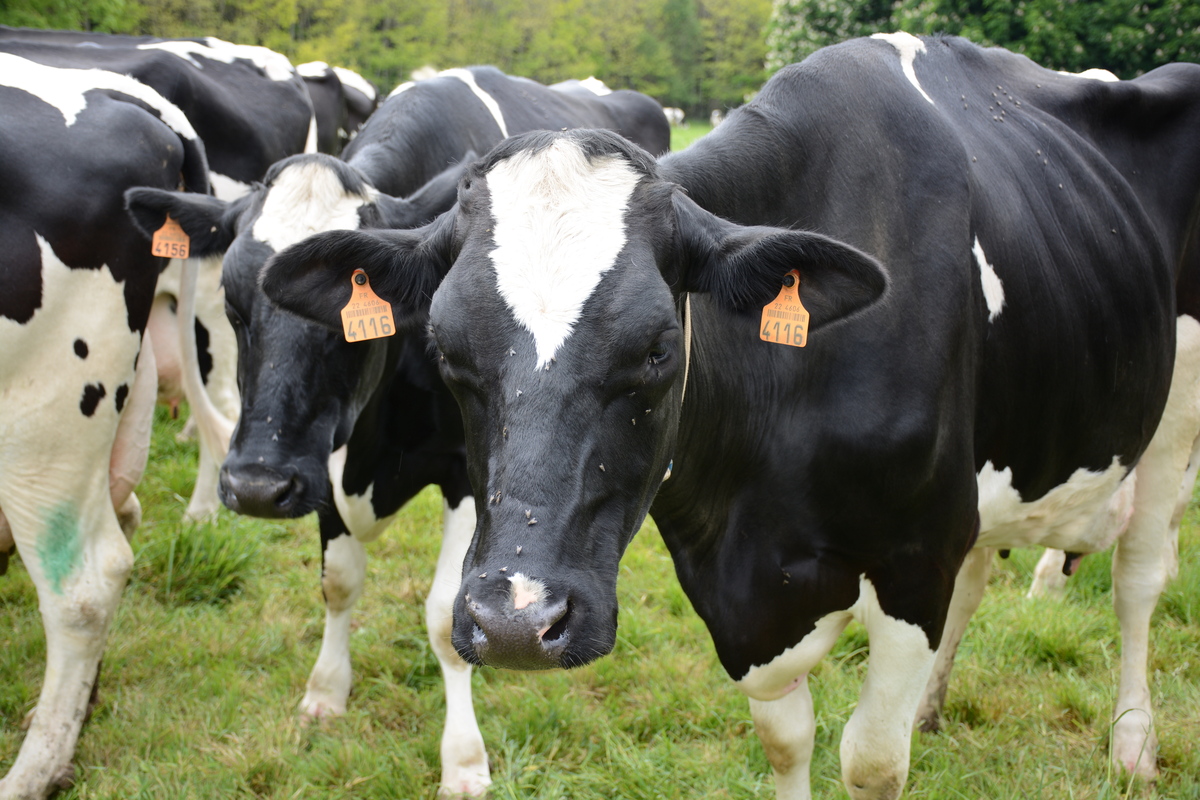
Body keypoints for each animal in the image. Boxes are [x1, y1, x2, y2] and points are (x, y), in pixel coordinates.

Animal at [123, 65, 670, 796]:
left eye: (346, 322)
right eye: (233, 305)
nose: (258, 486)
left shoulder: (470, 475)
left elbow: (446, 617)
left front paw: (464, 758)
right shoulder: (327, 459)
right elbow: (338, 581)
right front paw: (326, 690)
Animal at [257, 35, 1200, 799]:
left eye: (654, 349)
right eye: (446, 349)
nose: (517, 623)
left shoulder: (913, 551)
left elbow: (871, 762)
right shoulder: (744, 595)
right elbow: (788, 742)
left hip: (1174, 415)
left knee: (1137, 581)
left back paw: (1134, 744)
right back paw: (940, 705)